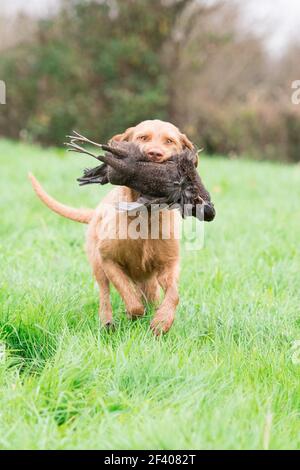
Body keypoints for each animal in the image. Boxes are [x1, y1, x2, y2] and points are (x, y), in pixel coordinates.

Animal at [29, 120, 195, 334]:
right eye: (142, 137)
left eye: (170, 141)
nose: (154, 154)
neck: (145, 215)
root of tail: (96, 211)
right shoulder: (108, 260)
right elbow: (129, 297)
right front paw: (133, 314)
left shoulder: (169, 264)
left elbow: (174, 294)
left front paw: (161, 321)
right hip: (98, 265)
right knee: (105, 294)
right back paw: (107, 321)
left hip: (148, 281)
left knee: (150, 295)